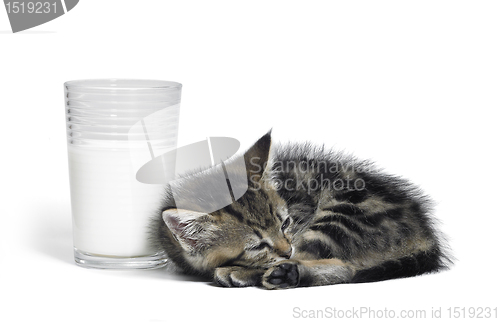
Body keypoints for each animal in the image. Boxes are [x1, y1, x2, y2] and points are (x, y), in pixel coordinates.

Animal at [149, 131, 450, 290]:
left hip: (341, 212)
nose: (286, 250)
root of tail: (425, 232)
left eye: (286, 224)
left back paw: (264, 272)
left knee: (344, 265)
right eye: (257, 246)